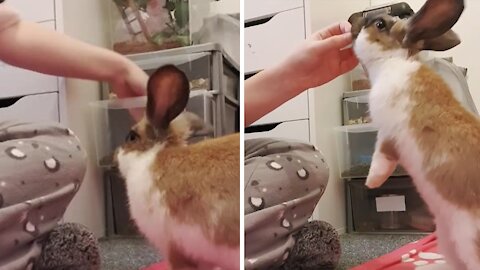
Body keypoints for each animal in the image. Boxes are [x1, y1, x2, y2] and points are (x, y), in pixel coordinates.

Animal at [348, 0, 480, 270]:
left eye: (380, 24)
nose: (350, 22)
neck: (391, 60)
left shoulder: (388, 133)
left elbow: (381, 157)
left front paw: (372, 182)